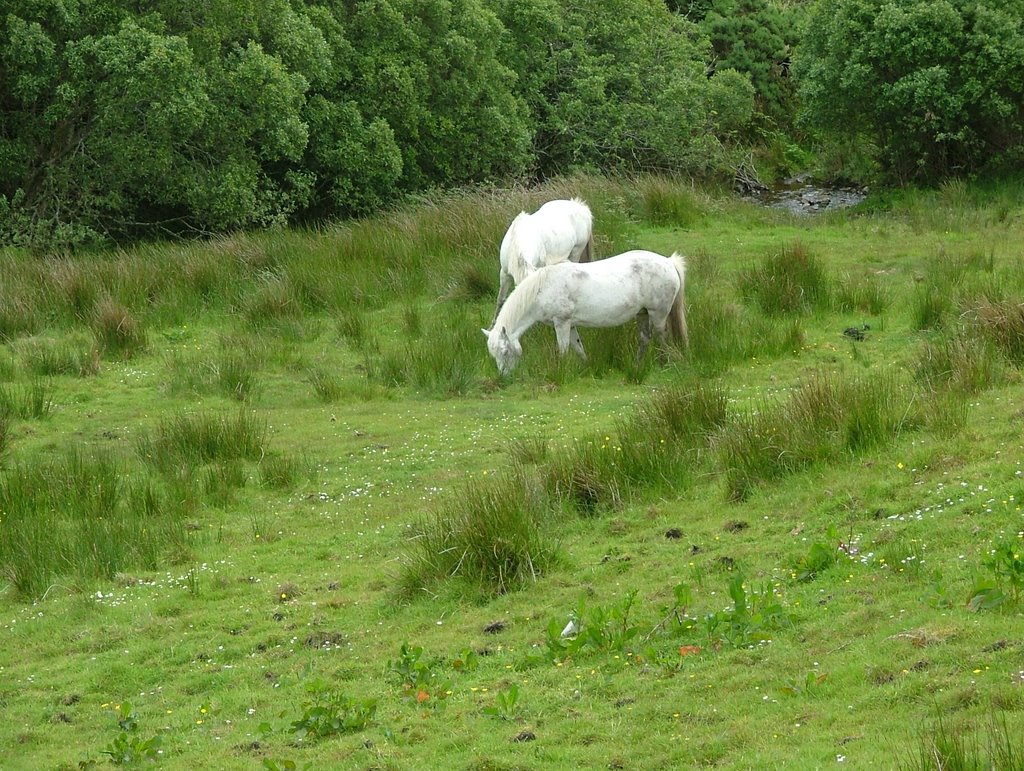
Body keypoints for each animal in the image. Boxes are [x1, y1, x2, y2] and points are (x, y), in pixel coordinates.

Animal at [481, 249, 688, 376]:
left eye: (505, 351)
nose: (504, 378)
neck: (544, 287)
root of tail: (669, 262)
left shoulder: (561, 323)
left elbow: (563, 349)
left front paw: (560, 373)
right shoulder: (569, 325)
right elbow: (578, 347)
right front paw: (588, 367)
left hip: (658, 314)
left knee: (662, 337)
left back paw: (665, 363)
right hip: (642, 314)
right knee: (645, 338)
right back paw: (637, 366)